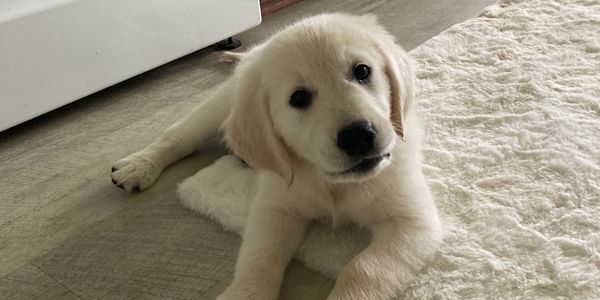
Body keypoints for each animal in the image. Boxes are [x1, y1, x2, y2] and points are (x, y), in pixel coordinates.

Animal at [111, 12, 440, 298]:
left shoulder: (413, 222)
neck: (331, 183)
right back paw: (137, 166)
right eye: (299, 98)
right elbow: (259, 258)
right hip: (222, 103)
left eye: (362, 71)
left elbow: (364, 268)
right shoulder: (275, 207)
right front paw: (243, 293)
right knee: (180, 134)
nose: (358, 135)